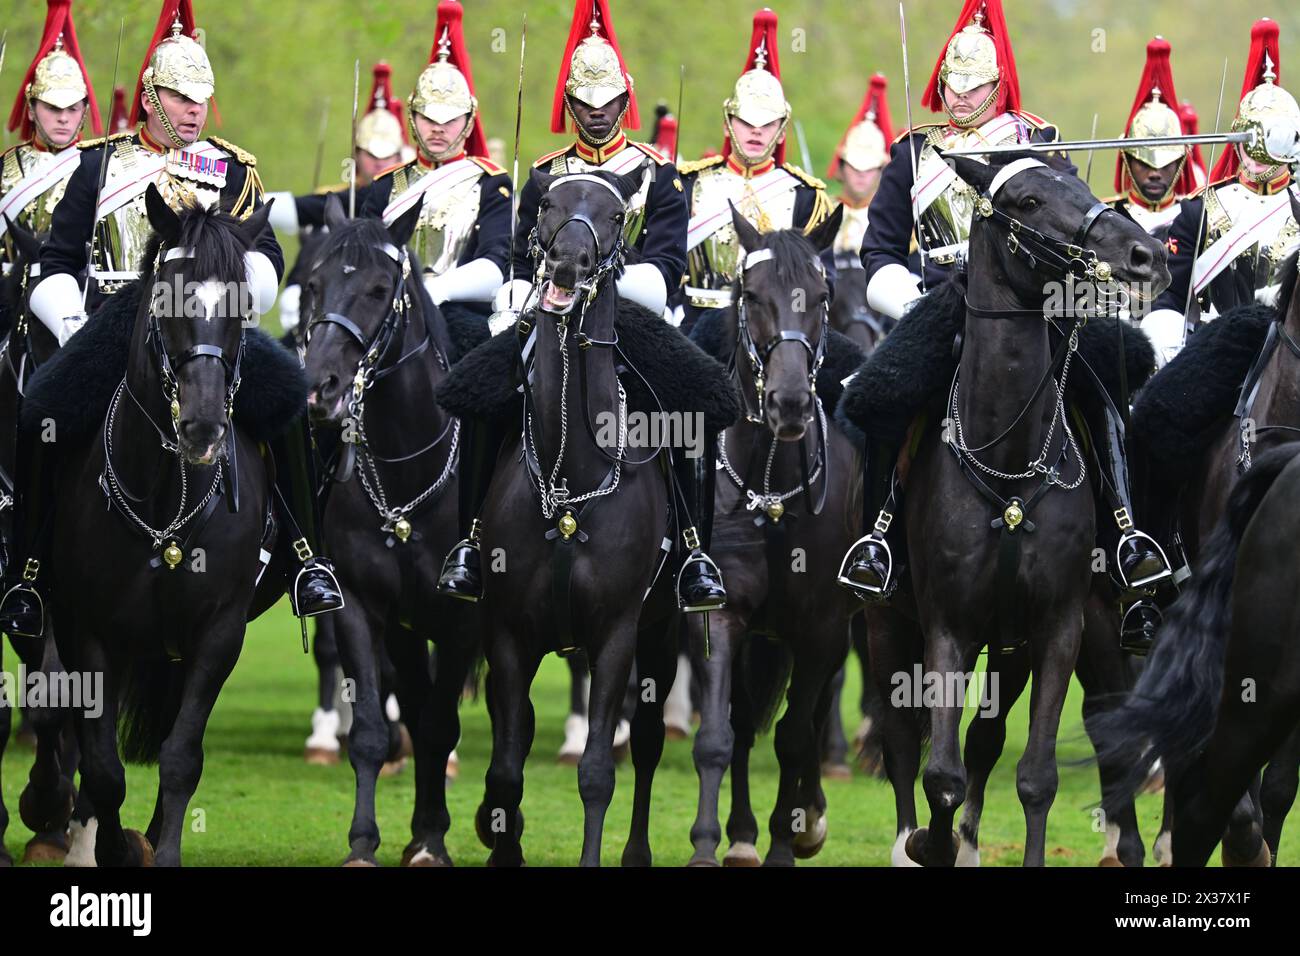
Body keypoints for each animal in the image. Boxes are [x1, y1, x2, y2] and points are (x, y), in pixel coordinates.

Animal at [301, 196, 480, 868]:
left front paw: (432, 841)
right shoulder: (361, 605)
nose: (319, 387)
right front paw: (364, 843)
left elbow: (440, 726)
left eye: (380, 289)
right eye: (315, 284)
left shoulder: (462, 621)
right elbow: (375, 732)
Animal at [681, 208, 863, 868]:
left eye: (820, 297)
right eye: (752, 295)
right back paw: (740, 834)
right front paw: (711, 844)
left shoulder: (821, 629)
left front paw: (791, 835)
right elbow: (719, 734)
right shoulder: (722, 614)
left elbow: (793, 735)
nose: (788, 404)